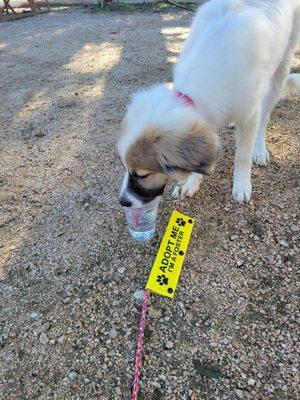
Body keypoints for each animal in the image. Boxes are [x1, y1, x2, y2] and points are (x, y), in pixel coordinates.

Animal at [118, 0, 300, 206]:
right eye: (124, 167)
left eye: (143, 175)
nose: (123, 201)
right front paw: (190, 183)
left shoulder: (250, 113)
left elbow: (242, 155)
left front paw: (242, 185)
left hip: (280, 71)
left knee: (265, 118)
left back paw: (260, 150)